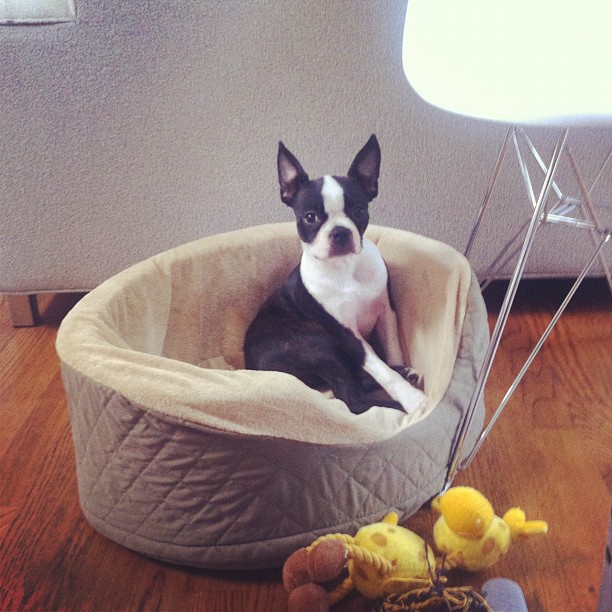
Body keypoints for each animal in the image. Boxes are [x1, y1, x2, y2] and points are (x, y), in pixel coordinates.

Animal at [244, 137, 426, 416]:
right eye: (310, 217)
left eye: (360, 211)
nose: (340, 232)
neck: (345, 268)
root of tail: (251, 367)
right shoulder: (347, 335)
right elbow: (381, 369)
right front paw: (412, 399)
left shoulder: (386, 311)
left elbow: (392, 350)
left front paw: (400, 373)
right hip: (316, 342)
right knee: (353, 399)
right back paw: (397, 404)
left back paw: (405, 373)